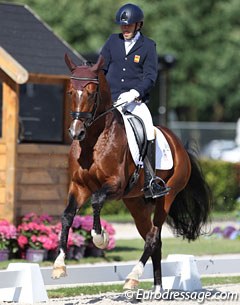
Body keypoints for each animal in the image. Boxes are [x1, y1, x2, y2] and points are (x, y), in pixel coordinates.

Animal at [51, 54, 211, 290]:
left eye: (92, 93)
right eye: (71, 91)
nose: (76, 132)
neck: (93, 142)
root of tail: (178, 144)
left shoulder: (115, 186)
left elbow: (97, 201)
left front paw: (100, 237)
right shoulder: (79, 186)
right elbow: (67, 216)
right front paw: (59, 265)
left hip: (167, 196)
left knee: (153, 236)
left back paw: (133, 278)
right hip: (135, 203)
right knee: (153, 238)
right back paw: (156, 287)